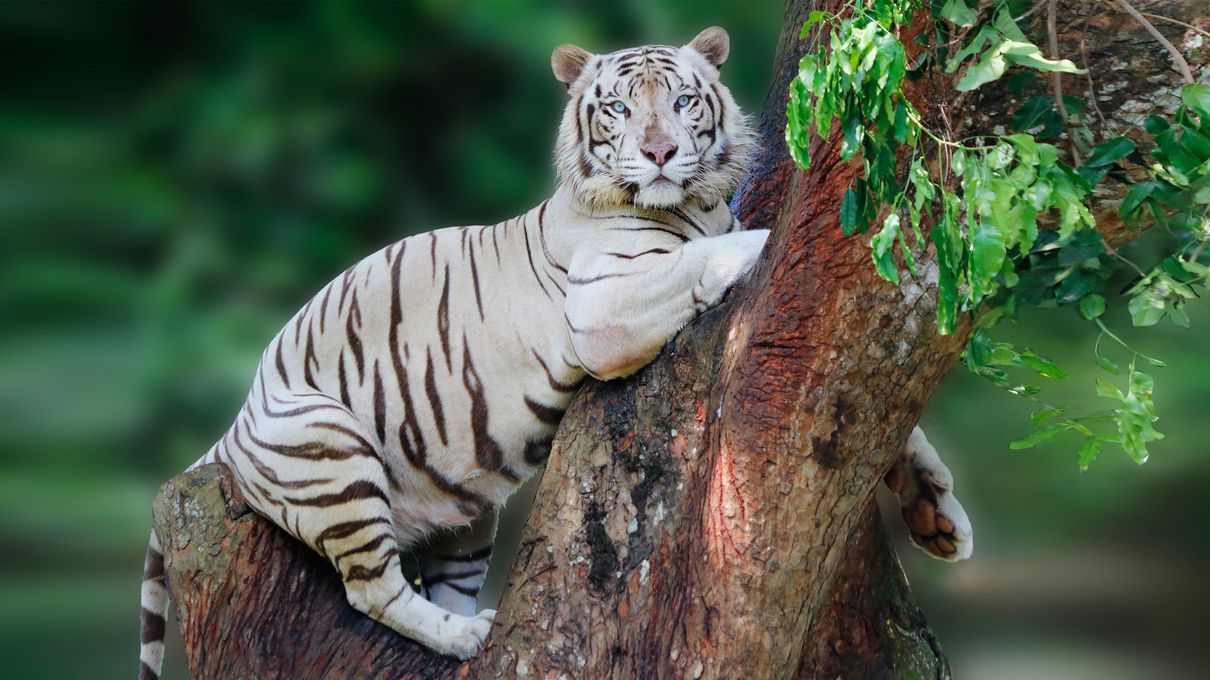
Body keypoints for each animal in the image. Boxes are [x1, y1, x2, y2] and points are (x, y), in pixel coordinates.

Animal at [138, 26, 972, 677]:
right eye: (619, 107)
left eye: (683, 102)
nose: (660, 152)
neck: (697, 205)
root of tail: (231, 428)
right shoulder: (603, 307)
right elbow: (711, 256)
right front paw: (762, 241)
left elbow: (893, 424)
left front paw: (937, 513)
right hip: (329, 448)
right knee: (369, 586)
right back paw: (466, 637)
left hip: (464, 516)